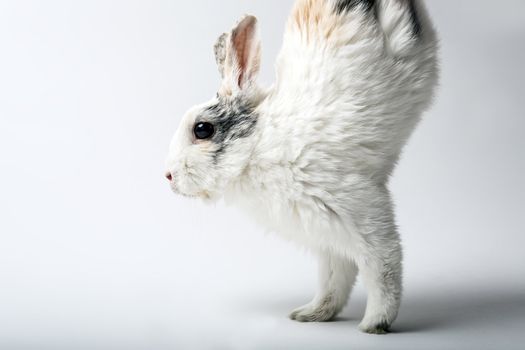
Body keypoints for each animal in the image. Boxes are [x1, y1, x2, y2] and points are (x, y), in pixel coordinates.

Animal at [165, 0, 438, 334]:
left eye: (202, 129)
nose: (168, 176)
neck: (257, 144)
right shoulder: (328, 235)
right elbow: (335, 276)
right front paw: (313, 313)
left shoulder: (360, 211)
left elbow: (383, 265)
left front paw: (375, 323)